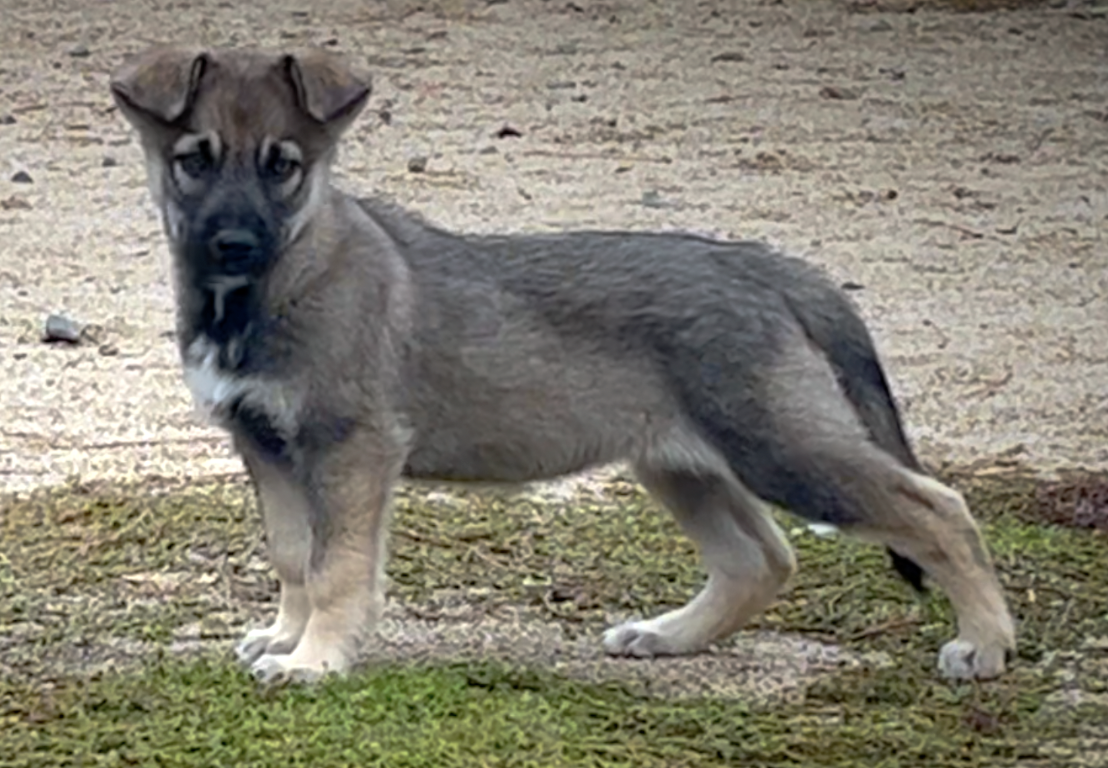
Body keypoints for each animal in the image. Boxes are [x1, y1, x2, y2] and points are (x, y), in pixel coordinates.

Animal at [108, 46, 1014, 682]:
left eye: (283, 166)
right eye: (195, 159)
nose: (233, 243)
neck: (278, 284)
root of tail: (770, 269)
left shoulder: (349, 450)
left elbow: (337, 568)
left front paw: (315, 661)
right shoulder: (266, 448)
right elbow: (295, 557)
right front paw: (286, 639)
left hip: (782, 447)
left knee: (937, 508)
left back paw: (985, 645)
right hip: (682, 464)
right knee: (759, 559)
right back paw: (668, 637)